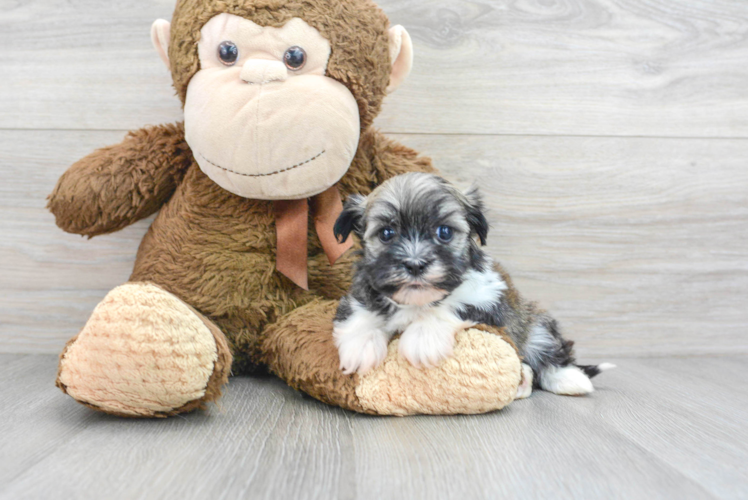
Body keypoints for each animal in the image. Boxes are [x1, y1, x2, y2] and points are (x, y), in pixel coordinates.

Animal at [334, 174, 612, 396]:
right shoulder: (361, 291)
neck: (419, 301)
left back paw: (570, 379)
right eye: (386, 233)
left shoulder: (489, 297)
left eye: (444, 232)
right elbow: (361, 311)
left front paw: (423, 337)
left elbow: (452, 306)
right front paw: (361, 343)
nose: (415, 264)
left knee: (547, 351)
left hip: (535, 324)